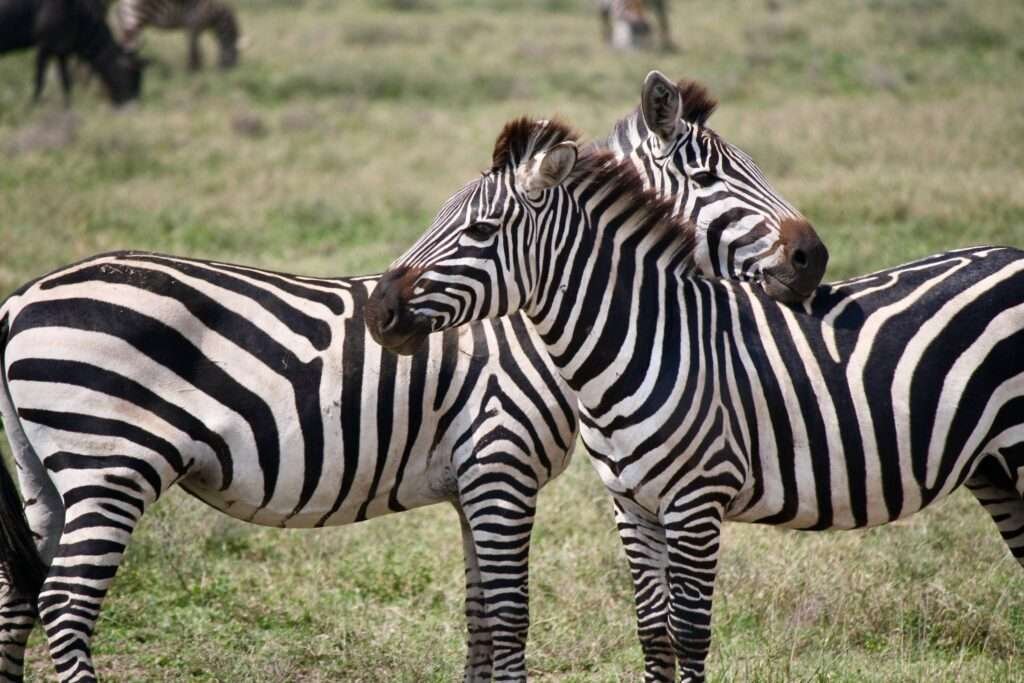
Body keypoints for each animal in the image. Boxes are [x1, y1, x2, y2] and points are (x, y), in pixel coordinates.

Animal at [0, 76, 823, 681]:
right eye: (710, 175)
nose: (813, 257)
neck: (530, 327)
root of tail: (21, 297)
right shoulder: (499, 464)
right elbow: (511, 619)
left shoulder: (472, 484)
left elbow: (480, 621)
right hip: (110, 464)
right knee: (66, 607)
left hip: (48, 476)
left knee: (18, 598)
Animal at [367, 116, 1024, 683]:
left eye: (480, 231)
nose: (377, 311)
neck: (647, 342)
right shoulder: (631, 505)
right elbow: (653, 631)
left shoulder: (696, 501)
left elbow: (690, 631)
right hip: (993, 469)